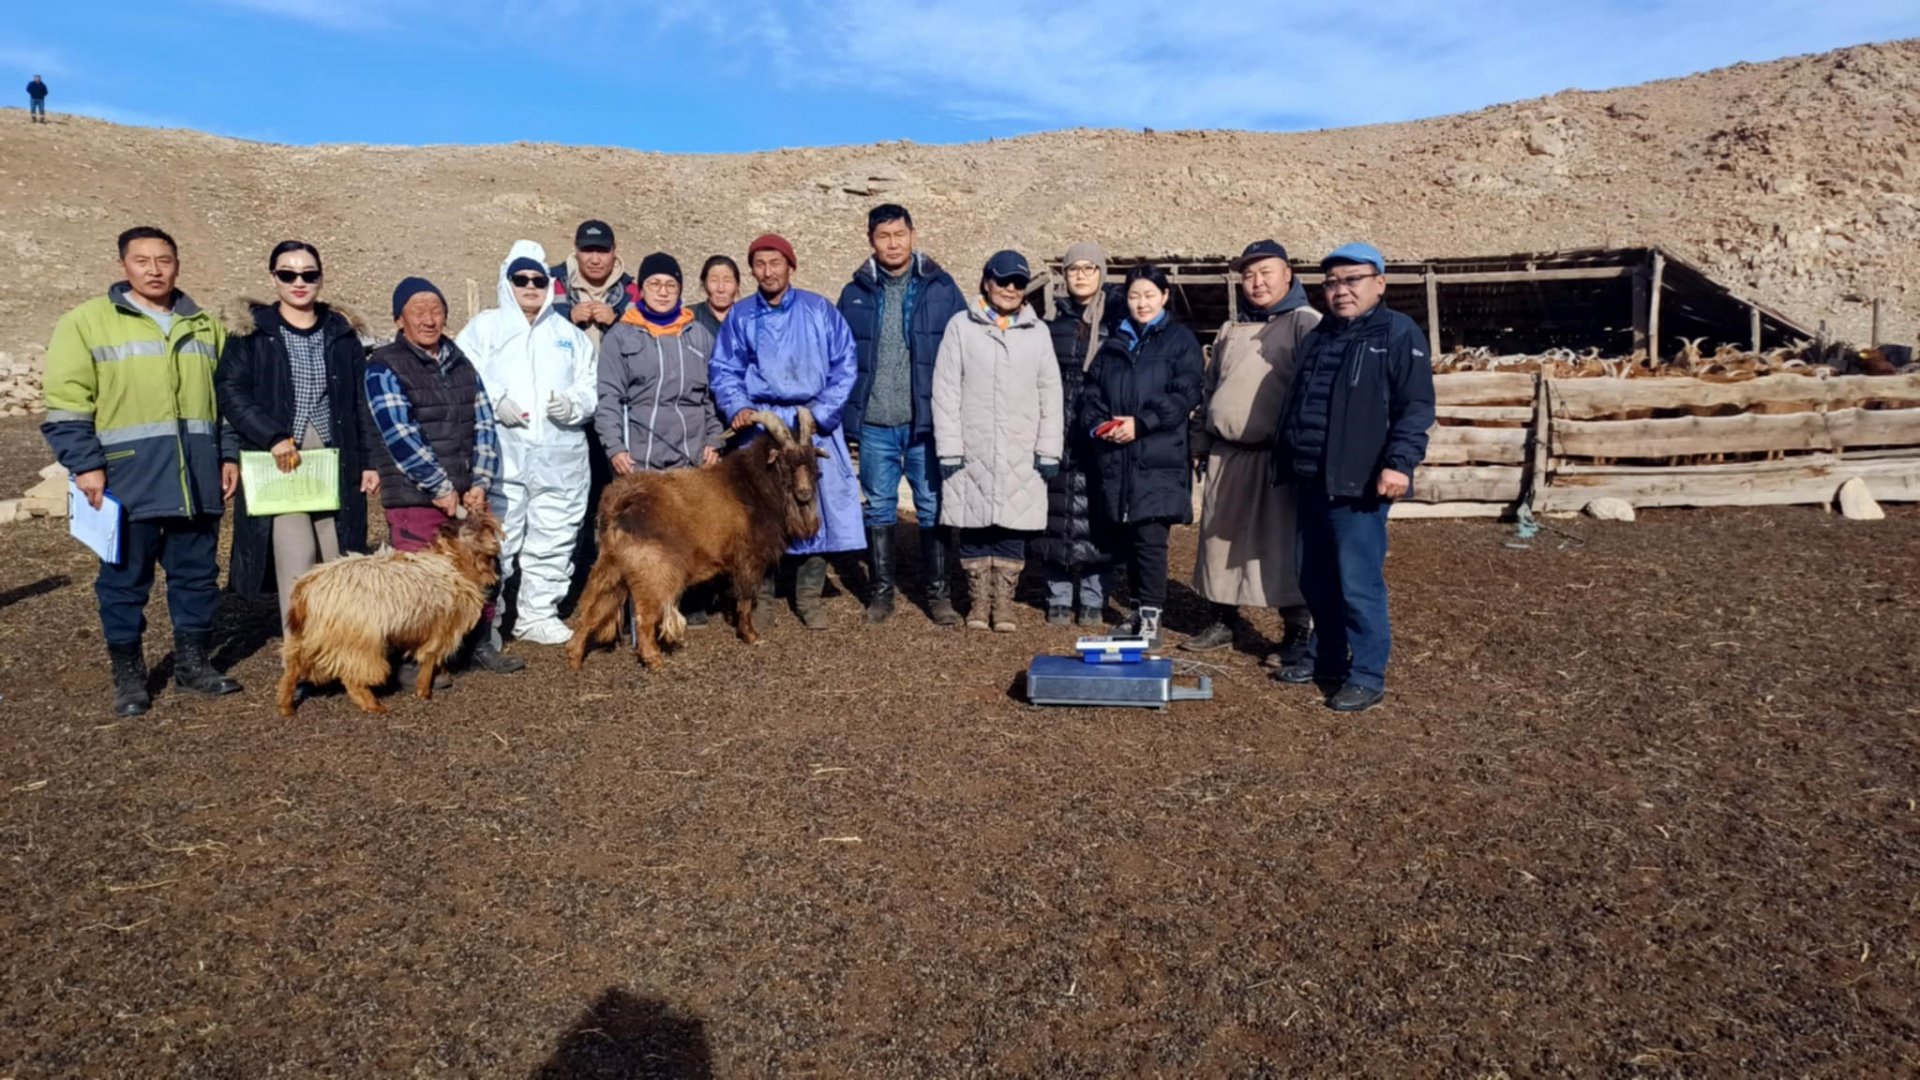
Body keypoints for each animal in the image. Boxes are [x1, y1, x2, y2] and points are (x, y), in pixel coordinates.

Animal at [560, 407, 821, 668]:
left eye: (811, 462)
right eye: (785, 462)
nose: (804, 493)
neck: (753, 485)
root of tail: (620, 503)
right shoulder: (748, 560)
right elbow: (746, 600)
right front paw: (751, 636)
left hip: (611, 567)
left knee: (593, 608)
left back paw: (574, 657)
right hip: (654, 573)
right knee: (643, 616)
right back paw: (654, 661)